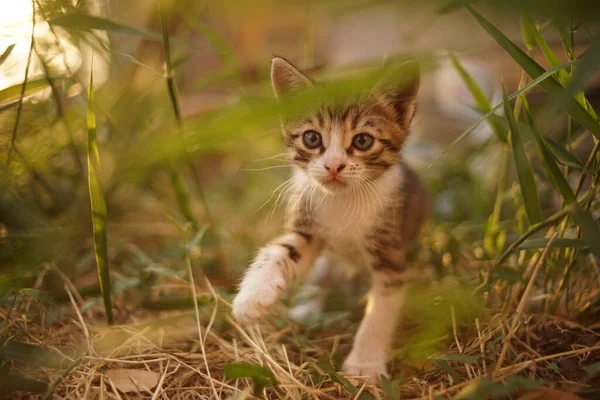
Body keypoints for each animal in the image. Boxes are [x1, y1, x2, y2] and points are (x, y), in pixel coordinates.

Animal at [232, 57, 428, 382]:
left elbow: (381, 309)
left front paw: (364, 364)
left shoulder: (390, 254)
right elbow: (280, 250)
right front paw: (253, 294)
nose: (333, 165)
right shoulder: (308, 229)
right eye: (312, 138)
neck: (342, 203)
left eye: (363, 141)